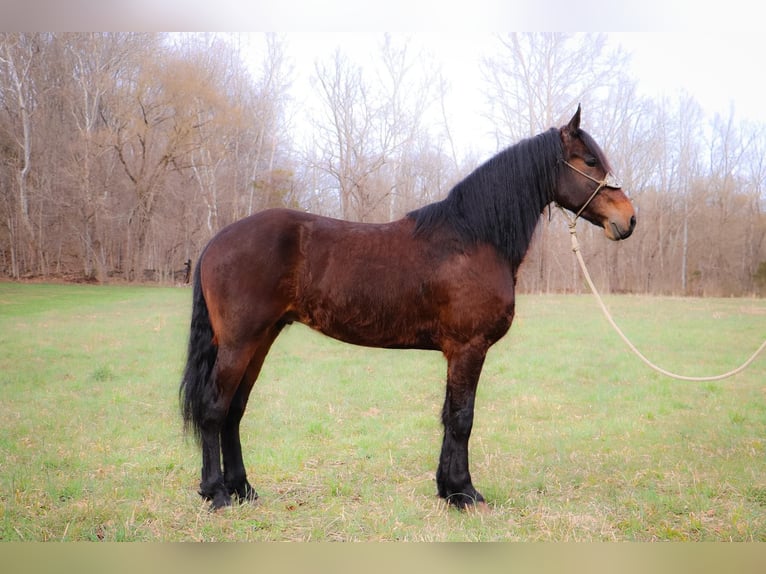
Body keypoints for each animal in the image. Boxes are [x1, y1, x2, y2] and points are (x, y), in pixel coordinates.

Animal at [180, 108, 636, 512]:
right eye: (590, 161)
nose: (628, 220)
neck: (473, 239)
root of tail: (216, 241)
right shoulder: (468, 348)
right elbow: (462, 418)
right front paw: (464, 494)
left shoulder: (457, 352)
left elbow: (450, 416)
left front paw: (448, 489)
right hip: (240, 342)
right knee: (215, 409)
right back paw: (217, 493)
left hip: (261, 339)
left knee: (234, 411)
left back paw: (243, 489)